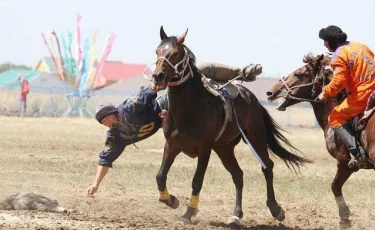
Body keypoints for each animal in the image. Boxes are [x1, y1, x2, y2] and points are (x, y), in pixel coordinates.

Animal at [150, 26, 312, 226]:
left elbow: (197, 180)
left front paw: (188, 213)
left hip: (255, 137)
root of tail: (251, 98)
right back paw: (236, 214)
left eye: (175, 53)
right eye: (157, 51)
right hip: (224, 148)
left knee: (267, 167)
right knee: (238, 174)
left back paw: (276, 209)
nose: (158, 76)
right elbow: (160, 176)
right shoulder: (172, 145)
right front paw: (171, 200)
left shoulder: (205, 148)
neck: (190, 108)